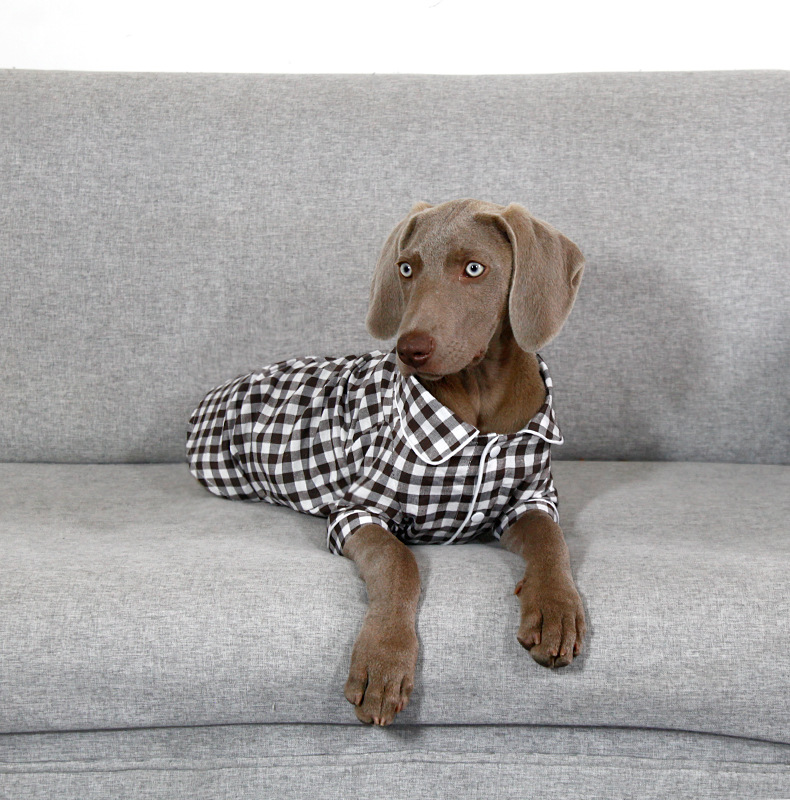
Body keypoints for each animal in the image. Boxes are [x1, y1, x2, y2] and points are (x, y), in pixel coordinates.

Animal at [187, 198, 586, 726]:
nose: (407, 350)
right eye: (406, 269)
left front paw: (557, 608)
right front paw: (383, 660)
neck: (479, 402)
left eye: (474, 269)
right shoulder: (356, 512)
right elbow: (400, 563)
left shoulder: (532, 499)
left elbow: (550, 540)